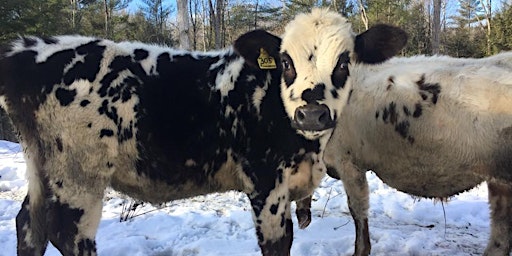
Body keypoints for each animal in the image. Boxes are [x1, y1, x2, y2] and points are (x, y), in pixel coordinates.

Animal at [0, 30, 326, 256]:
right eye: (288, 61)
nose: (313, 111)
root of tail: (25, 50)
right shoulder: (266, 180)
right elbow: (279, 241)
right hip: (78, 171)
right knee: (67, 231)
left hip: (42, 165)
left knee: (30, 223)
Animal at [282, 9, 512, 255]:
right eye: (286, 63)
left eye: (343, 63)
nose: (311, 114)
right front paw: (303, 214)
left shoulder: (349, 161)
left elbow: (358, 211)